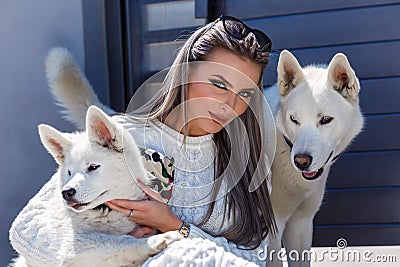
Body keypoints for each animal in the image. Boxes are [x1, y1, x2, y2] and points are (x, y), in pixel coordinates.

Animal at [9, 105, 181, 266]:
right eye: (69, 172)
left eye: (93, 167)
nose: (66, 193)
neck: (103, 211)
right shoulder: (72, 246)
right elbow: (118, 241)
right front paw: (158, 240)